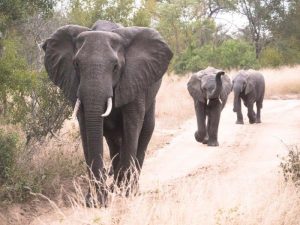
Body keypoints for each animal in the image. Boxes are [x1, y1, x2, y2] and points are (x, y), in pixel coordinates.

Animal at [42, 20, 173, 206]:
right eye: (76, 65)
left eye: (115, 67)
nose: (101, 201)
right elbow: (86, 131)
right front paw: (93, 201)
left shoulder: (133, 79)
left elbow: (132, 128)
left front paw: (123, 194)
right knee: (113, 143)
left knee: (144, 133)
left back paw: (129, 190)